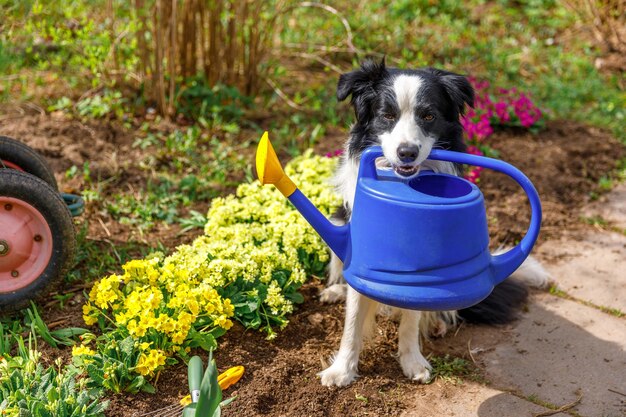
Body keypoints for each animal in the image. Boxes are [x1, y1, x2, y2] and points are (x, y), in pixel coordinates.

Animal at [316, 59, 544, 386]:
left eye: (428, 116)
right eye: (387, 115)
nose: (407, 152)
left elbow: (413, 315)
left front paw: (412, 361)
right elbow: (353, 318)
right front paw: (342, 370)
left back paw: (436, 323)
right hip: (337, 217)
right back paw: (336, 291)